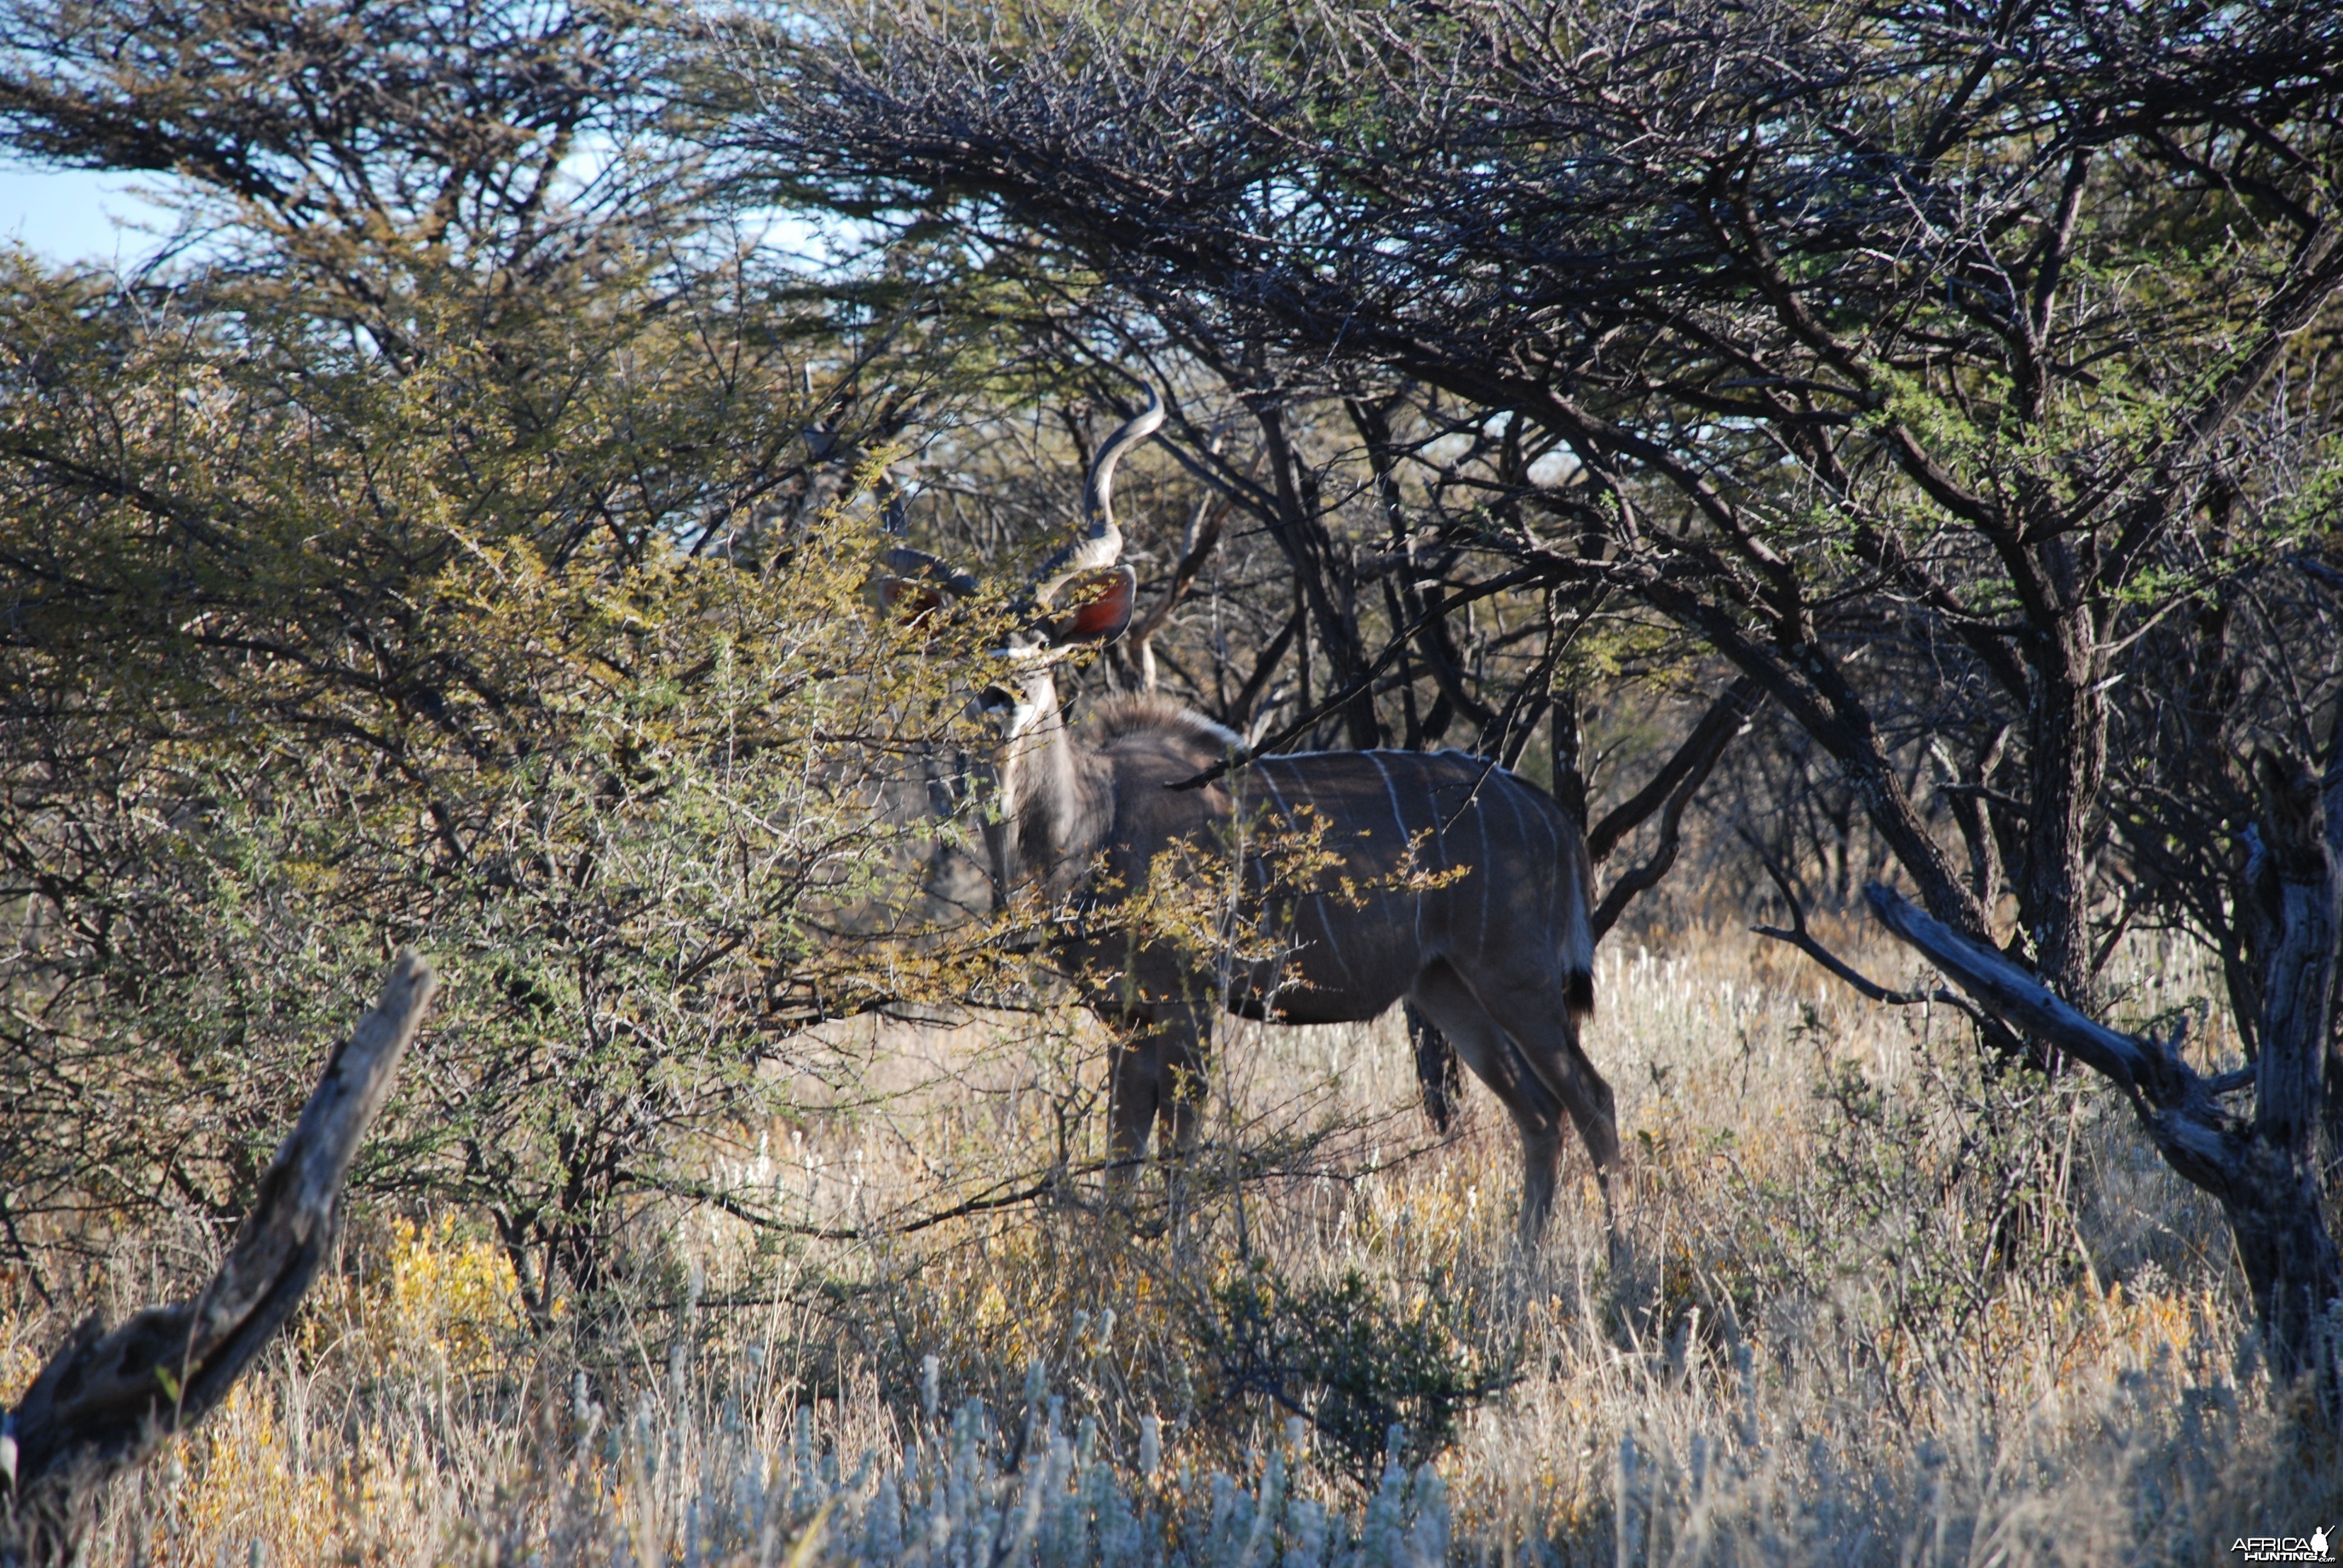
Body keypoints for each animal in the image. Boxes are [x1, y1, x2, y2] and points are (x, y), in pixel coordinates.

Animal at [904, 389, 1621, 1237]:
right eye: (973, 648)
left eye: (1045, 648)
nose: (1002, 695)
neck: (1093, 822)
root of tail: (1551, 815)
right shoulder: (1125, 1016)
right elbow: (1120, 1161)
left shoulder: (1185, 1005)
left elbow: (1177, 1158)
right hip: (1446, 986)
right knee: (1539, 1113)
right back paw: (1518, 1270)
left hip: (1518, 977)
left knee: (1592, 1099)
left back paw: (1619, 1266)